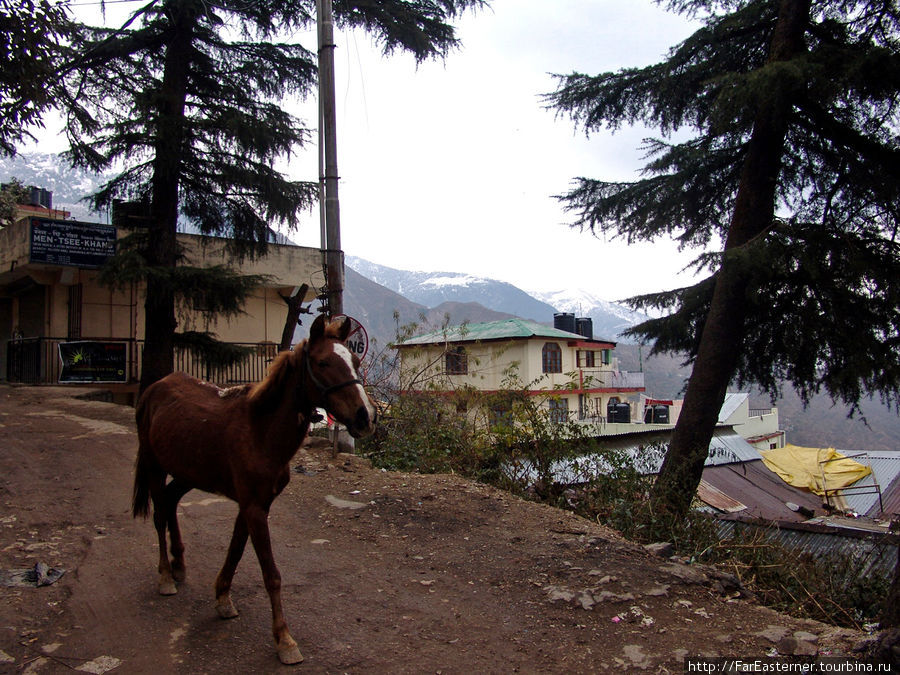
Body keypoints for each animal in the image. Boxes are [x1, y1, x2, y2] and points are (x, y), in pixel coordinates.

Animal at [132, 316, 374, 664]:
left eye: (354, 360)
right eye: (324, 362)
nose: (365, 416)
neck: (261, 431)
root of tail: (155, 386)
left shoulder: (255, 504)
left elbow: (235, 550)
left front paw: (222, 597)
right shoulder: (253, 507)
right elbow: (271, 573)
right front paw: (284, 639)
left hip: (187, 471)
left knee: (169, 501)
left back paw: (179, 564)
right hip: (154, 465)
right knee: (159, 514)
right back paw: (165, 574)